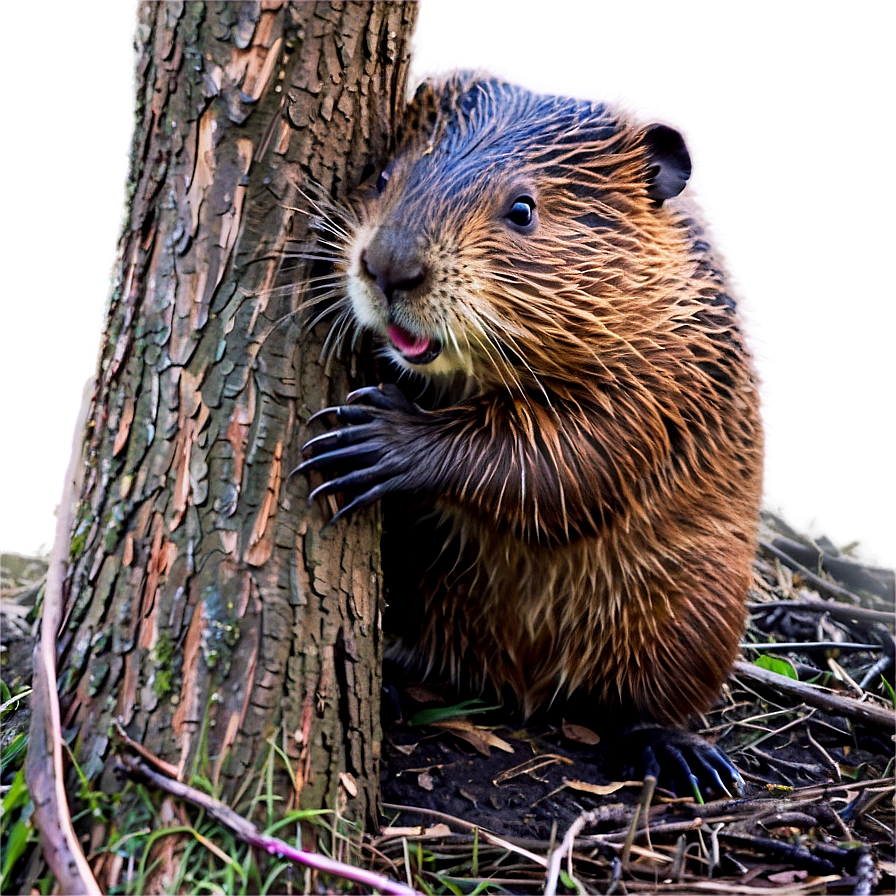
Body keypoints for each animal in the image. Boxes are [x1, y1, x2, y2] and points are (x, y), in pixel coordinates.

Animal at [294, 73, 764, 796]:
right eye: (382, 174)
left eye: (522, 209)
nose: (389, 267)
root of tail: (522, 684)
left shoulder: (675, 365)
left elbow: (579, 456)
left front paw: (374, 439)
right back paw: (393, 691)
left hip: (701, 596)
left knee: (650, 700)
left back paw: (684, 756)